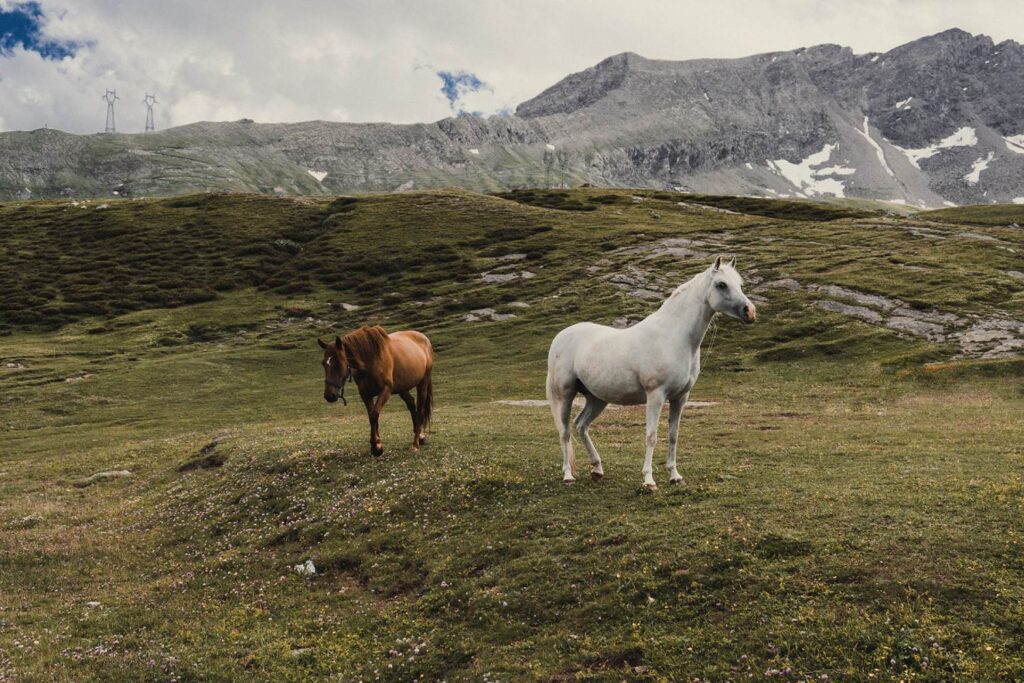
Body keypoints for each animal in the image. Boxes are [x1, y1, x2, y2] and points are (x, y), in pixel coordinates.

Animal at [319, 325, 432, 454]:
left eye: (337, 363)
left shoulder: (385, 391)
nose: (329, 395)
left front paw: (376, 446)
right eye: (323, 363)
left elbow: (374, 414)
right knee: (411, 404)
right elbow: (371, 416)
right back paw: (420, 437)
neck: (371, 360)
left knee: (420, 409)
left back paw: (415, 443)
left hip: (423, 383)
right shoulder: (365, 393)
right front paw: (377, 444)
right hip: (402, 387)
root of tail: (423, 338)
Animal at [548, 253, 757, 489]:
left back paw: (597, 469)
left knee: (581, 426)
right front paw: (649, 480)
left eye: (739, 284)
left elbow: (673, 435)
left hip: (597, 398)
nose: (750, 312)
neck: (674, 338)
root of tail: (561, 336)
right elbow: (651, 436)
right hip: (565, 394)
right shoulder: (655, 395)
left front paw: (675, 476)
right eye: (721, 284)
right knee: (565, 431)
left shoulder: (681, 397)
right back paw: (568, 475)